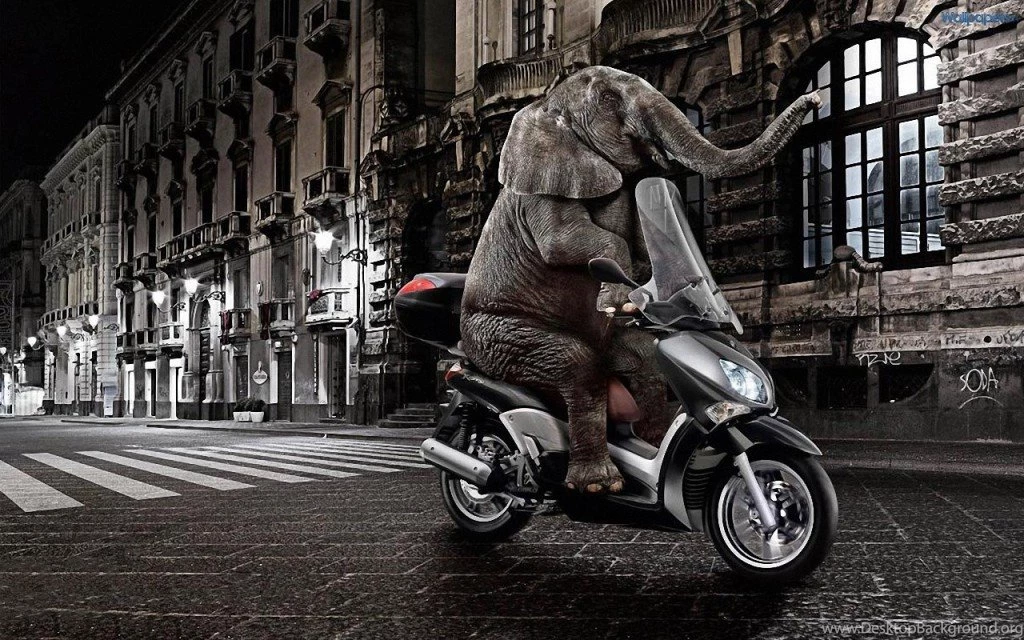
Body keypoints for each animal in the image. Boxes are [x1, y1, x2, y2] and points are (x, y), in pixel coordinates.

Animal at [460, 65, 821, 494]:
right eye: (609, 100)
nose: (816, 98)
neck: (546, 105)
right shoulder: (541, 191)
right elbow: (563, 242)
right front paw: (616, 301)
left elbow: (645, 253)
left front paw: (627, 301)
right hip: (493, 336)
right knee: (576, 366)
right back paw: (597, 483)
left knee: (644, 360)